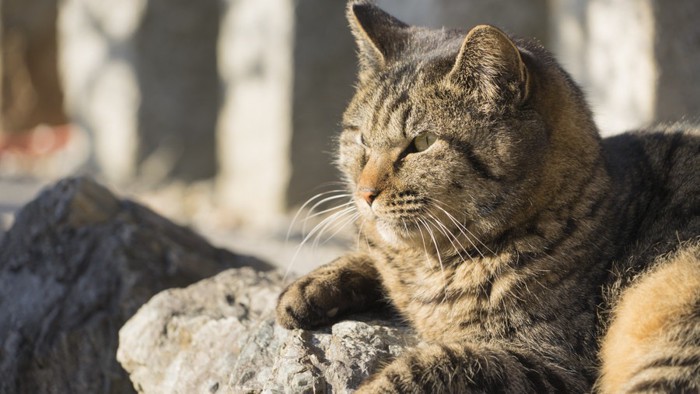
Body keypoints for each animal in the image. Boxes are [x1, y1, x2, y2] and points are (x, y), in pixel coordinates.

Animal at [276, 1, 696, 392]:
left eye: (422, 143)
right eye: (362, 138)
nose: (364, 193)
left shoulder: (551, 360)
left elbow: (429, 366)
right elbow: (373, 260)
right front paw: (308, 287)